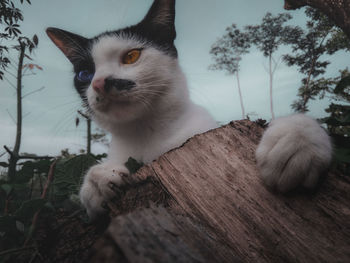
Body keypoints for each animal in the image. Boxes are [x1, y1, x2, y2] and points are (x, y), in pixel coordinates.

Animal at [45, 0, 330, 220]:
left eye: (131, 56)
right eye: (85, 73)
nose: (99, 83)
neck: (147, 133)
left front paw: (295, 141)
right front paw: (98, 181)